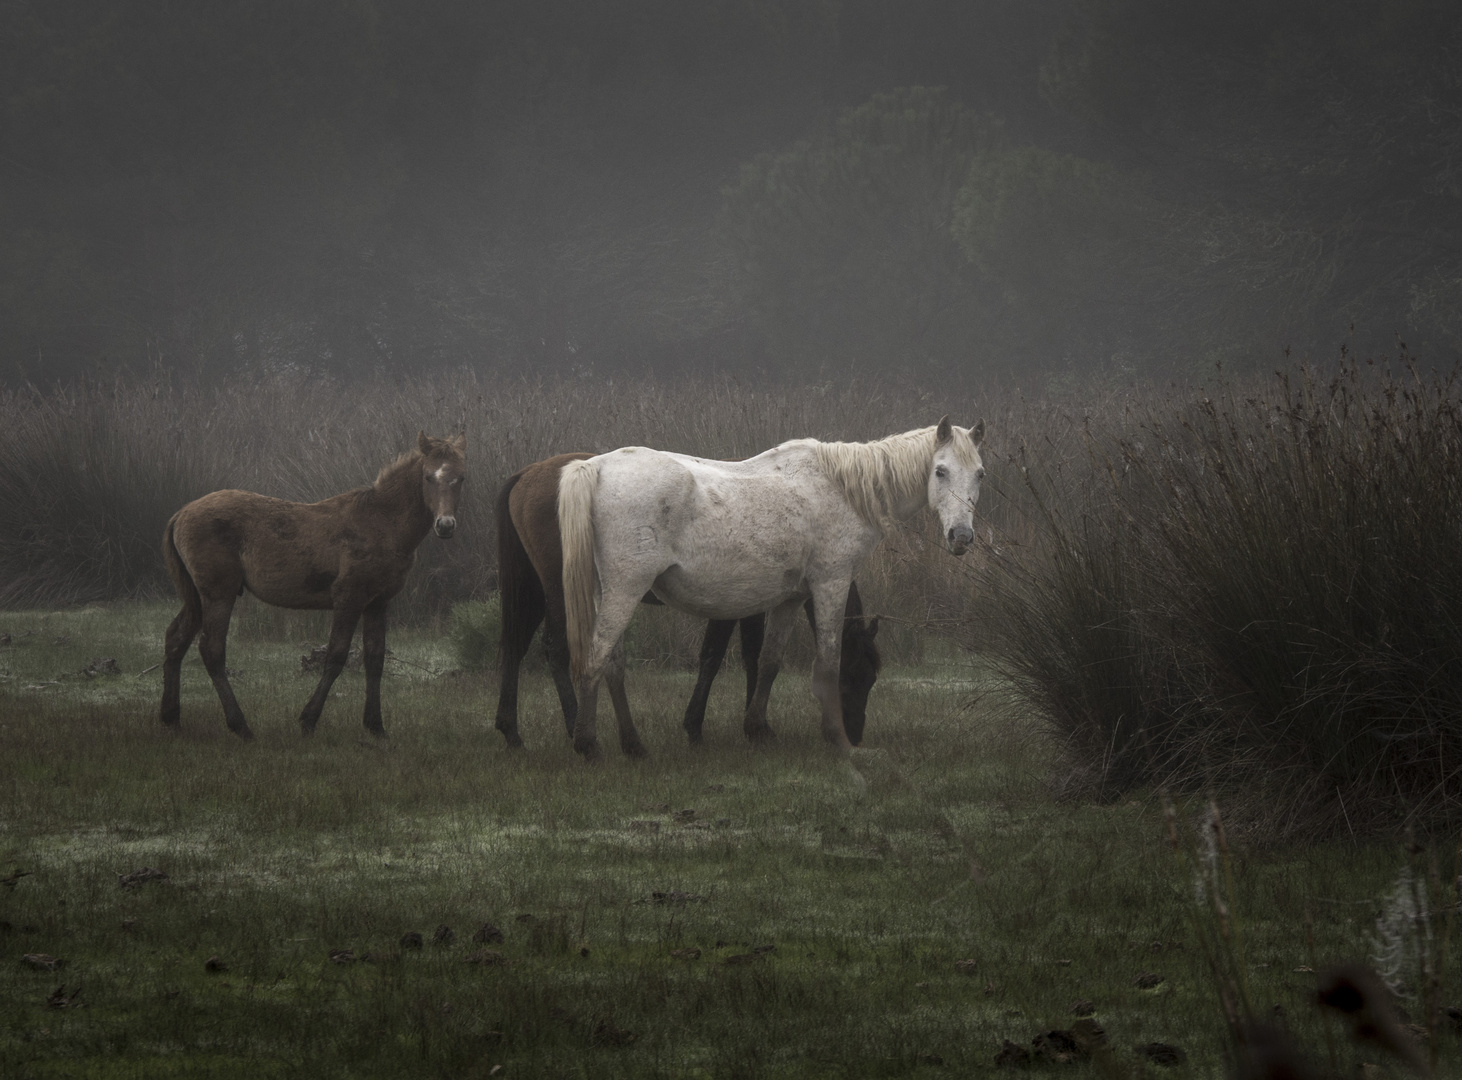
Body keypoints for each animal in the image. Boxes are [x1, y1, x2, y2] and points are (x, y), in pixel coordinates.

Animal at [158, 435, 461, 739]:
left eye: (460, 478)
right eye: (427, 477)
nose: (445, 525)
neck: (381, 524)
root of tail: (180, 515)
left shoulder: (377, 603)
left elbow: (375, 660)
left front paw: (376, 726)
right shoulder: (348, 598)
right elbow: (336, 656)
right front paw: (308, 720)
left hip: (196, 597)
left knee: (176, 639)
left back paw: (171, 718)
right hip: (218, 594)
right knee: (212, 650)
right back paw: (240, 726)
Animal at [491, 453, 877, 754]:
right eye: (861, 673)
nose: (856, 733)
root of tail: (528, 474)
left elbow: (754, 656)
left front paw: (753, 721)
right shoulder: (732, 605)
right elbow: (716, 657)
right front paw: (703, 726)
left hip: (535, 590)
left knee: (515, 647)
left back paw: (512, 731)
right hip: (561, 593)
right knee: (557, 650)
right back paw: (576, 727)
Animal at [552, 415, 988, 759]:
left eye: (980, 474)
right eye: (940, 471)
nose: (961, 537)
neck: (840, 489)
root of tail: (595, 467)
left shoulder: (790, 599)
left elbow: (769, 662)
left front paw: (758, 729)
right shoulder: (830, 584)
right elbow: (827, 661)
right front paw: (833, 736)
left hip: (607, 594)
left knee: (613, 665)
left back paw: (633, 745)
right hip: (625, 591)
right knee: (594, 660)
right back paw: (588, 745)